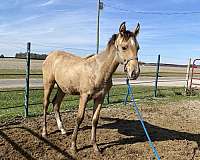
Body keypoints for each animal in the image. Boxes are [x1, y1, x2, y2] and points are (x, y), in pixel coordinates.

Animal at [41, 21, 140, 154]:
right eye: (124, 47)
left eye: (138, 48)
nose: (134, 72)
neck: (98, 70)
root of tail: (50, 55)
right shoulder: (84, 96)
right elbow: (79, 118)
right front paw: (73, 146)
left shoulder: (100, 98)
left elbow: (95, 120)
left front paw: (95, 146)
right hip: (49, 84)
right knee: (46, 104)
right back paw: (45, 132)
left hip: (62, 88)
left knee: (56, 104)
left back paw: (62, 130)